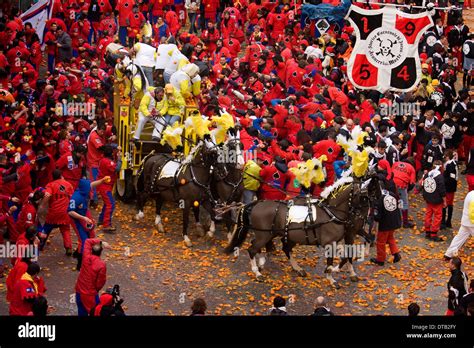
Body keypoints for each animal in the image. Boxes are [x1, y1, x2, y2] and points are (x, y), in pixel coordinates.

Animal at [223, 173, 382, 286]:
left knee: (282, 249)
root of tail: (255, 203)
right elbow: (333, 261)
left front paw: (340, 272)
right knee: (252, 249)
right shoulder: (331, 242)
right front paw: (331, 278)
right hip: (264, 235)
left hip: (282, 235)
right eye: (367, 196)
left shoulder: (344, 237)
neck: (331, 213)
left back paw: (294, 268)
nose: (363, 218)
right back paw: (257, 272)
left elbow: (346, 255)